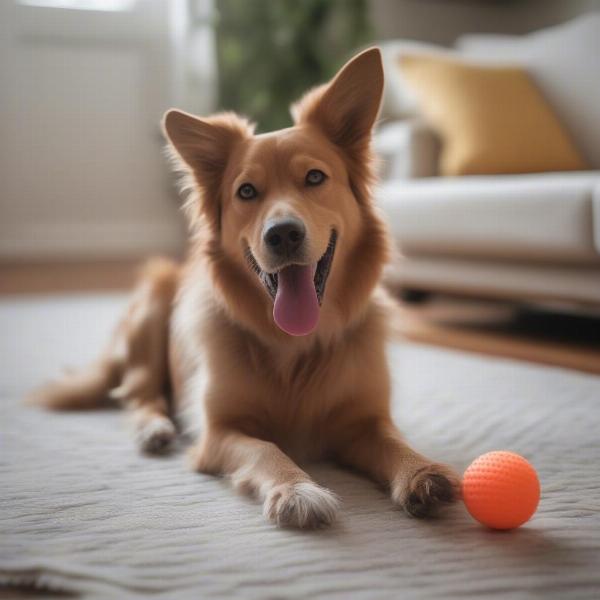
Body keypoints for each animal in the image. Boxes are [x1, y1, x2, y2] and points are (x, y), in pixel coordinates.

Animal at [31, 49, 460, 528]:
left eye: (315, 178)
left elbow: (392, 442)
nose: (283, 234)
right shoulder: (220, 431)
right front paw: (298, 490)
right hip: (153, 302)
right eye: (247, 191)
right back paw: (154, 428)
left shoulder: (363, 420)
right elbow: (266, 450)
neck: (297, 345)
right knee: (139, 391)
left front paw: (421, 472)